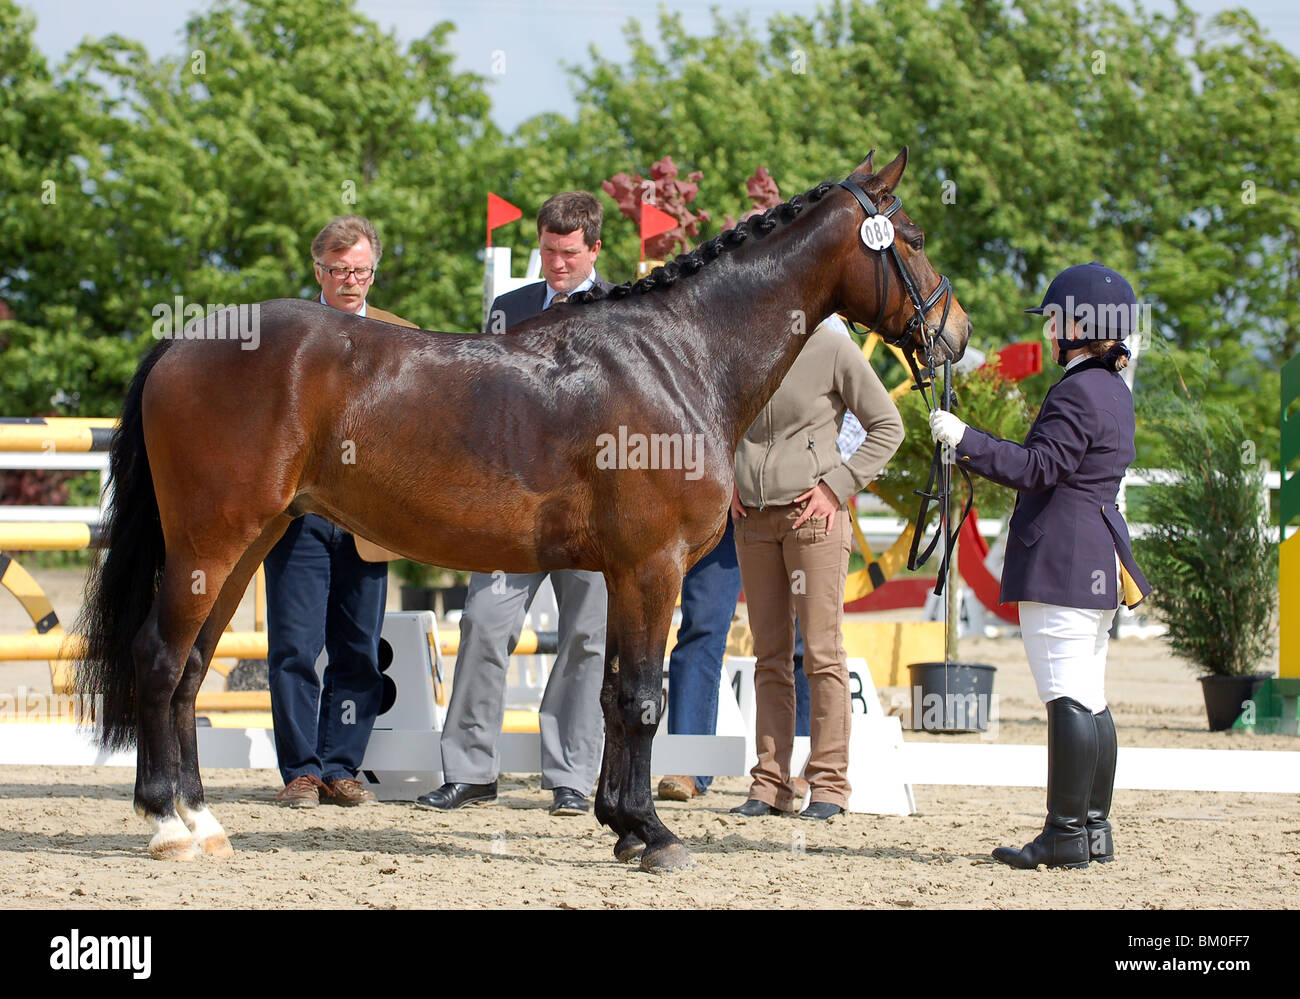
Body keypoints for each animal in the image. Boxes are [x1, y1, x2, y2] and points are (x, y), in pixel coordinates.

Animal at [71, 150, 967, 874]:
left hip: (246, 541)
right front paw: (653, 834)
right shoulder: (654, 566)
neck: (678, 355)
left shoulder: (622, 576)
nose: (955, 335)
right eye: (915, 235)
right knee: (160, 659)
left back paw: (201, 819)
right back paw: (167, 824)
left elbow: (609, 696)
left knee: (190, 670)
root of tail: (186, 340)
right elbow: (642, 699)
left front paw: (621, 824)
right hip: (211, 540)